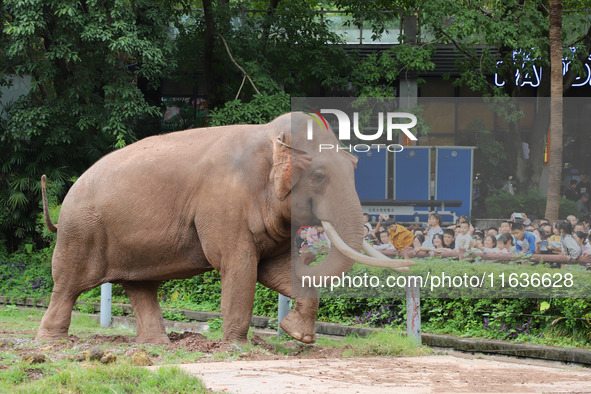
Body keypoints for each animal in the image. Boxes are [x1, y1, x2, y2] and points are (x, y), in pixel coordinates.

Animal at [38, 112, 412, 344]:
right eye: (319, 176)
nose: (409, 262)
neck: (269, 137)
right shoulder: (222, 205)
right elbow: (239, 265)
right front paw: (235, 346)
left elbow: (275, 269)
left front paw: (299, 337)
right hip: (81, 231)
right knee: (68, 283)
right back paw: (51, 343)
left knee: (141, 287)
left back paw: (158, 345)